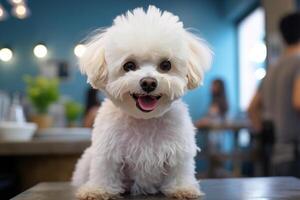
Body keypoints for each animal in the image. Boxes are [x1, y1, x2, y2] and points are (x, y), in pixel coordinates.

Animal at [72, 5, 213, 199]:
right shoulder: (108, 150)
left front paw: (182, 188)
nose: (148, 82)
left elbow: (179, 169)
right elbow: (105, 170)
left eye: (166, 65)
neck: (144, 120)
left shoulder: (178, 150)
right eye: (129, 65)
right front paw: (98, 189)